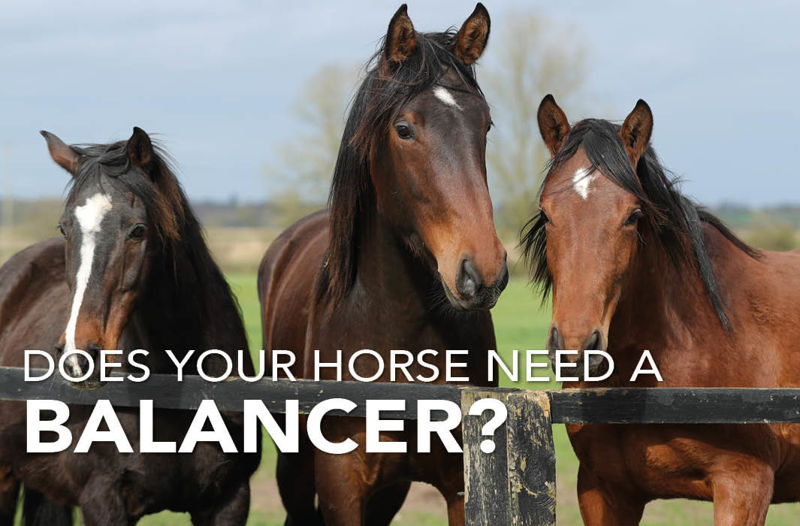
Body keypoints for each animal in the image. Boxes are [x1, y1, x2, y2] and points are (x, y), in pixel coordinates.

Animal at [258, 4, 507, 525]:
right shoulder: (341, 489)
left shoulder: (459, 487)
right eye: (404, 128)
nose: (482, 271)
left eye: (486, 125)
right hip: (294, 469)